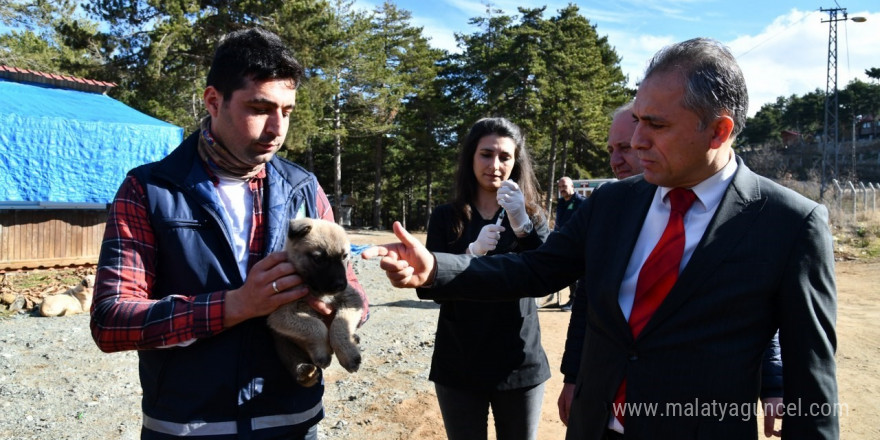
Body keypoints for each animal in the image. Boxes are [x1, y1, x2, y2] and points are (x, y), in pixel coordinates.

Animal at [268, 218, 364, 386]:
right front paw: (323, 352)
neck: (317, 291)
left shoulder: (352, 300)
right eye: (318, 259)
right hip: (282, 340)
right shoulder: (280, 314)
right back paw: (305, 372)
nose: (340, 285)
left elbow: (339, 326)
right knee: (291, 357)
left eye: (344, 256)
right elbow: (316, 326)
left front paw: (348, 354)